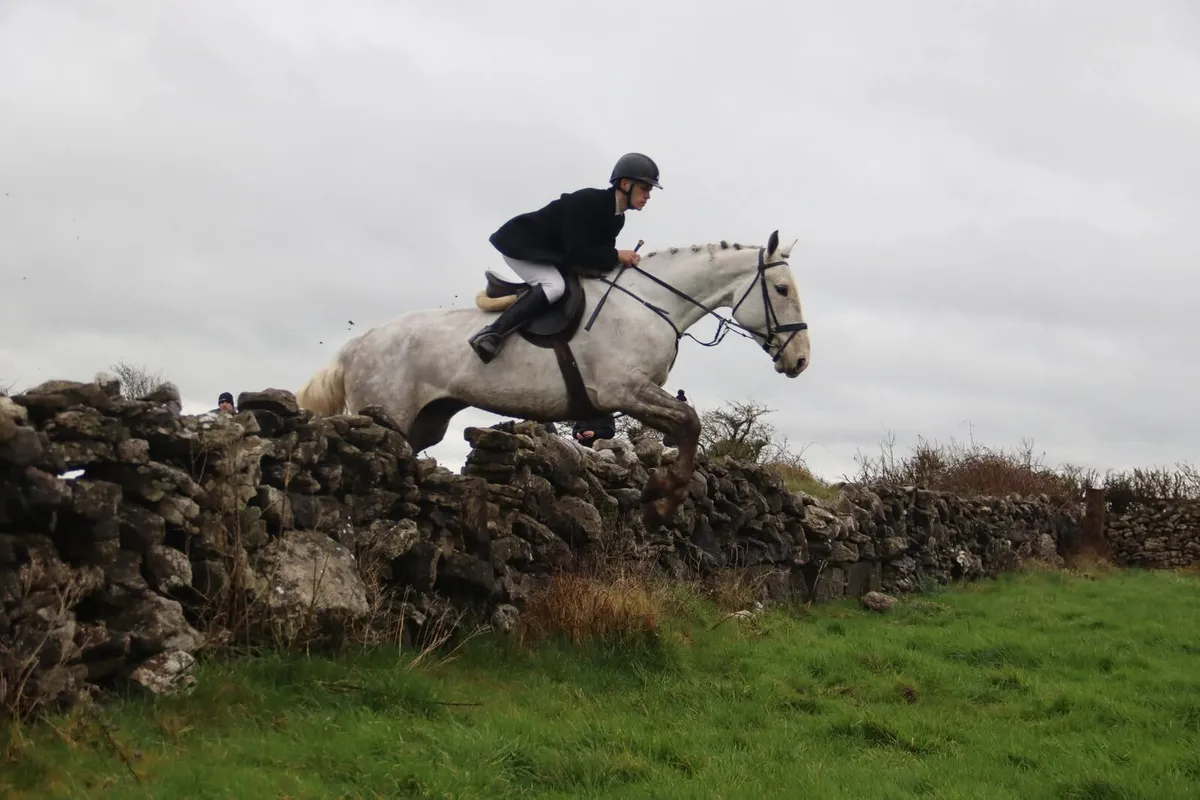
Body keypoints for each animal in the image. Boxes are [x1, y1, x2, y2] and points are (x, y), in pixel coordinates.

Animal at [296, 229, 811, 529]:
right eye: (782, 289)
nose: (801, 360)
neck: (650, 304)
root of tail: (355, 345)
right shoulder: (624, 390)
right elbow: (690, 422)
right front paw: (661, 502)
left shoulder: (632, 396)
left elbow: (687, 425)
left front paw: (661, 496)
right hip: (386, 412)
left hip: (425, 423)